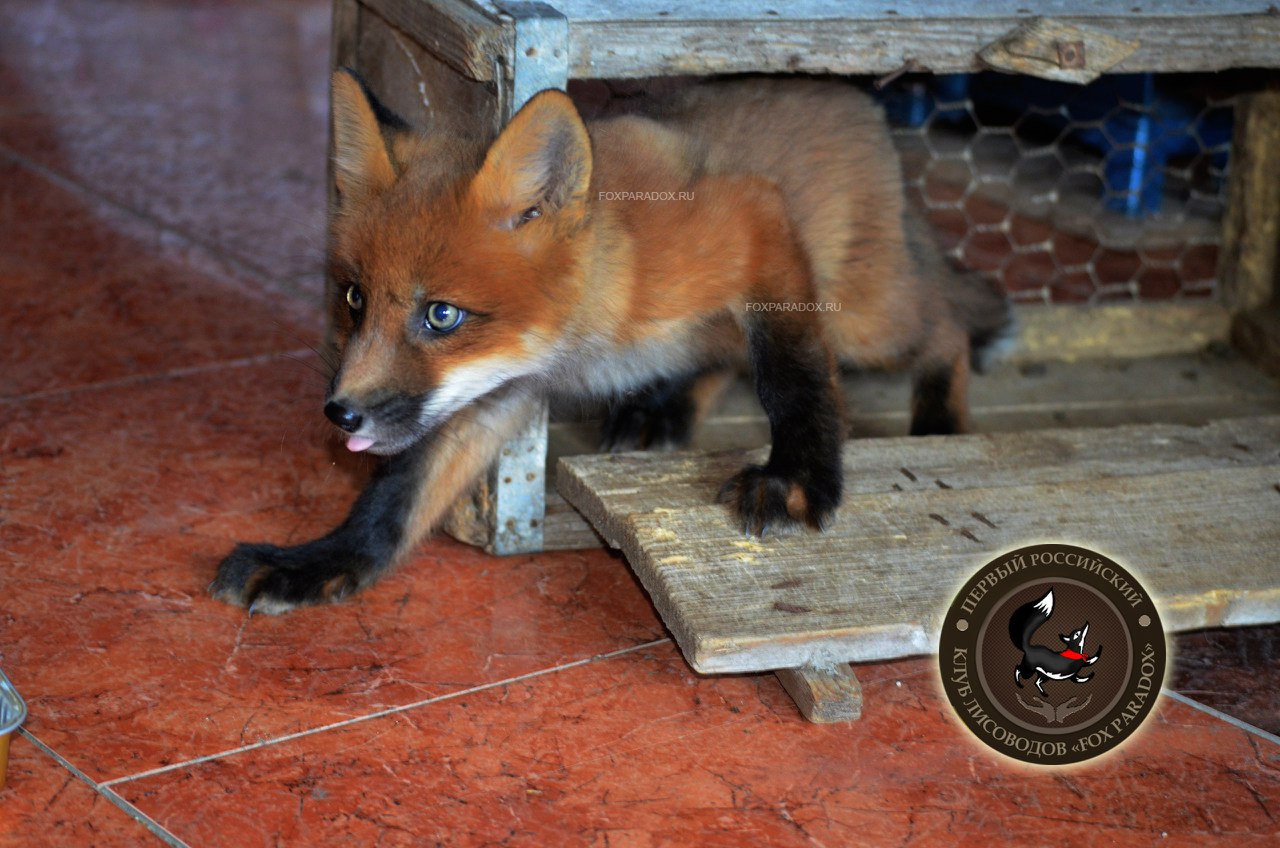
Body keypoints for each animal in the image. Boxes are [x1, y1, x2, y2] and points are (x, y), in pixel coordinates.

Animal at [209, 69, 1008, 614]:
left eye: (440, 316)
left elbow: (790, 374)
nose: (339, 413)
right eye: (354, 298)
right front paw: (321, 562)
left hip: (862, 319)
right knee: (721, 359)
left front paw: (797, 475)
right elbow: (399, 494)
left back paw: (943, 418)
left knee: (945, 323)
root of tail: (854, 95)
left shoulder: (753, 218)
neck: (592, 335)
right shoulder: (497, 392)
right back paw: (662, 410)